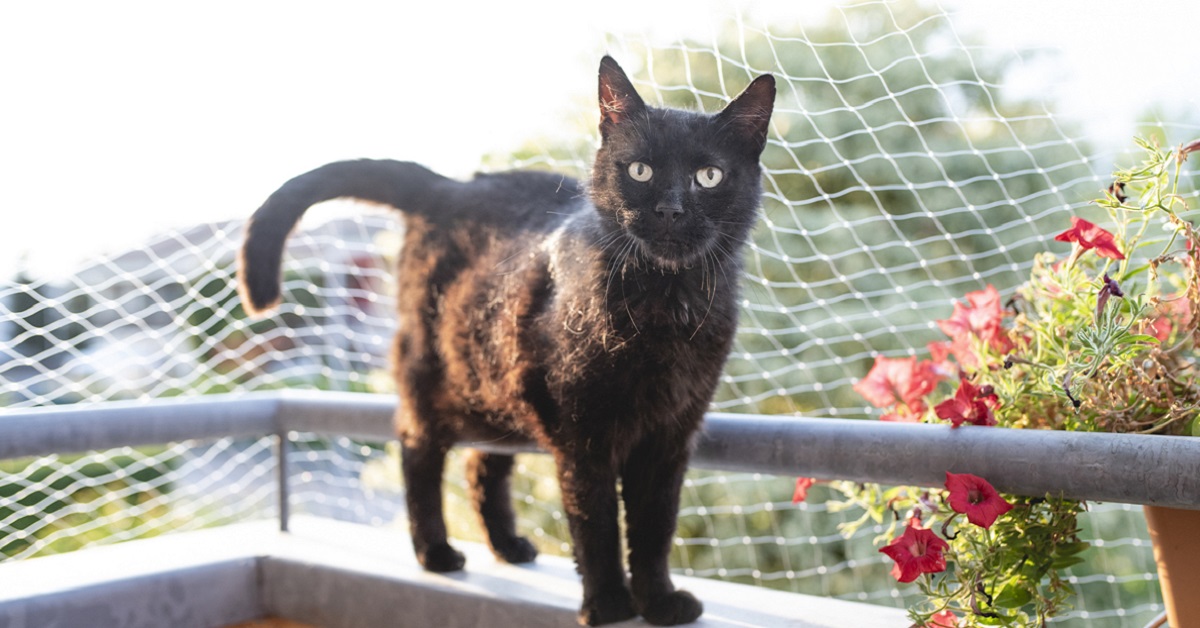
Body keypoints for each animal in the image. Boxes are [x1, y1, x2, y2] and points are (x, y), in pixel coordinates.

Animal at [238, 56, 772, 624]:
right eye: (640, 171)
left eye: (709, 176)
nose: (670, 210)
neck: (664, 309)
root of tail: (449, 188)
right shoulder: (584, 433)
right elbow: (596, 521)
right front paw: (608, 604)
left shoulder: (670, 435)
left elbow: (654, 527)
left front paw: (660, 602)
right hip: (434, 374)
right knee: (418, 450)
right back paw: (436, 552)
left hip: (498, 376)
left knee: (481, 464)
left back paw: (507, 545)